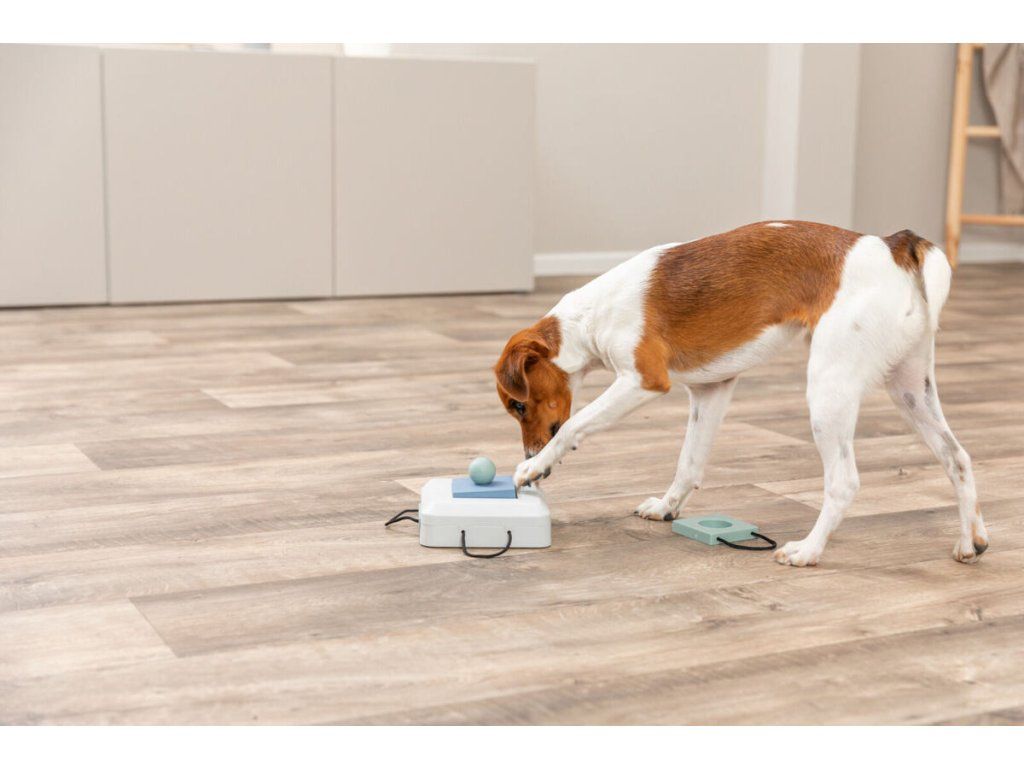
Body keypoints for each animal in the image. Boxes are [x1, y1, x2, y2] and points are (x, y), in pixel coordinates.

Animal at [493, 220, 988, 567]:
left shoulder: (643, 381)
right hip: (911, 389)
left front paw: (535, 465)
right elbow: (689, 463)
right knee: (958, 458)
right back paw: (971, 539)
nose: (528, 450)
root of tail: (894, 244)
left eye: (518, 404)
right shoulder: (711, 390)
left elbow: (573, 426)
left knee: (844, 482)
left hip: (828, 389)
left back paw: (808, 550)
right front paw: (668, 507)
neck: (592, 317)